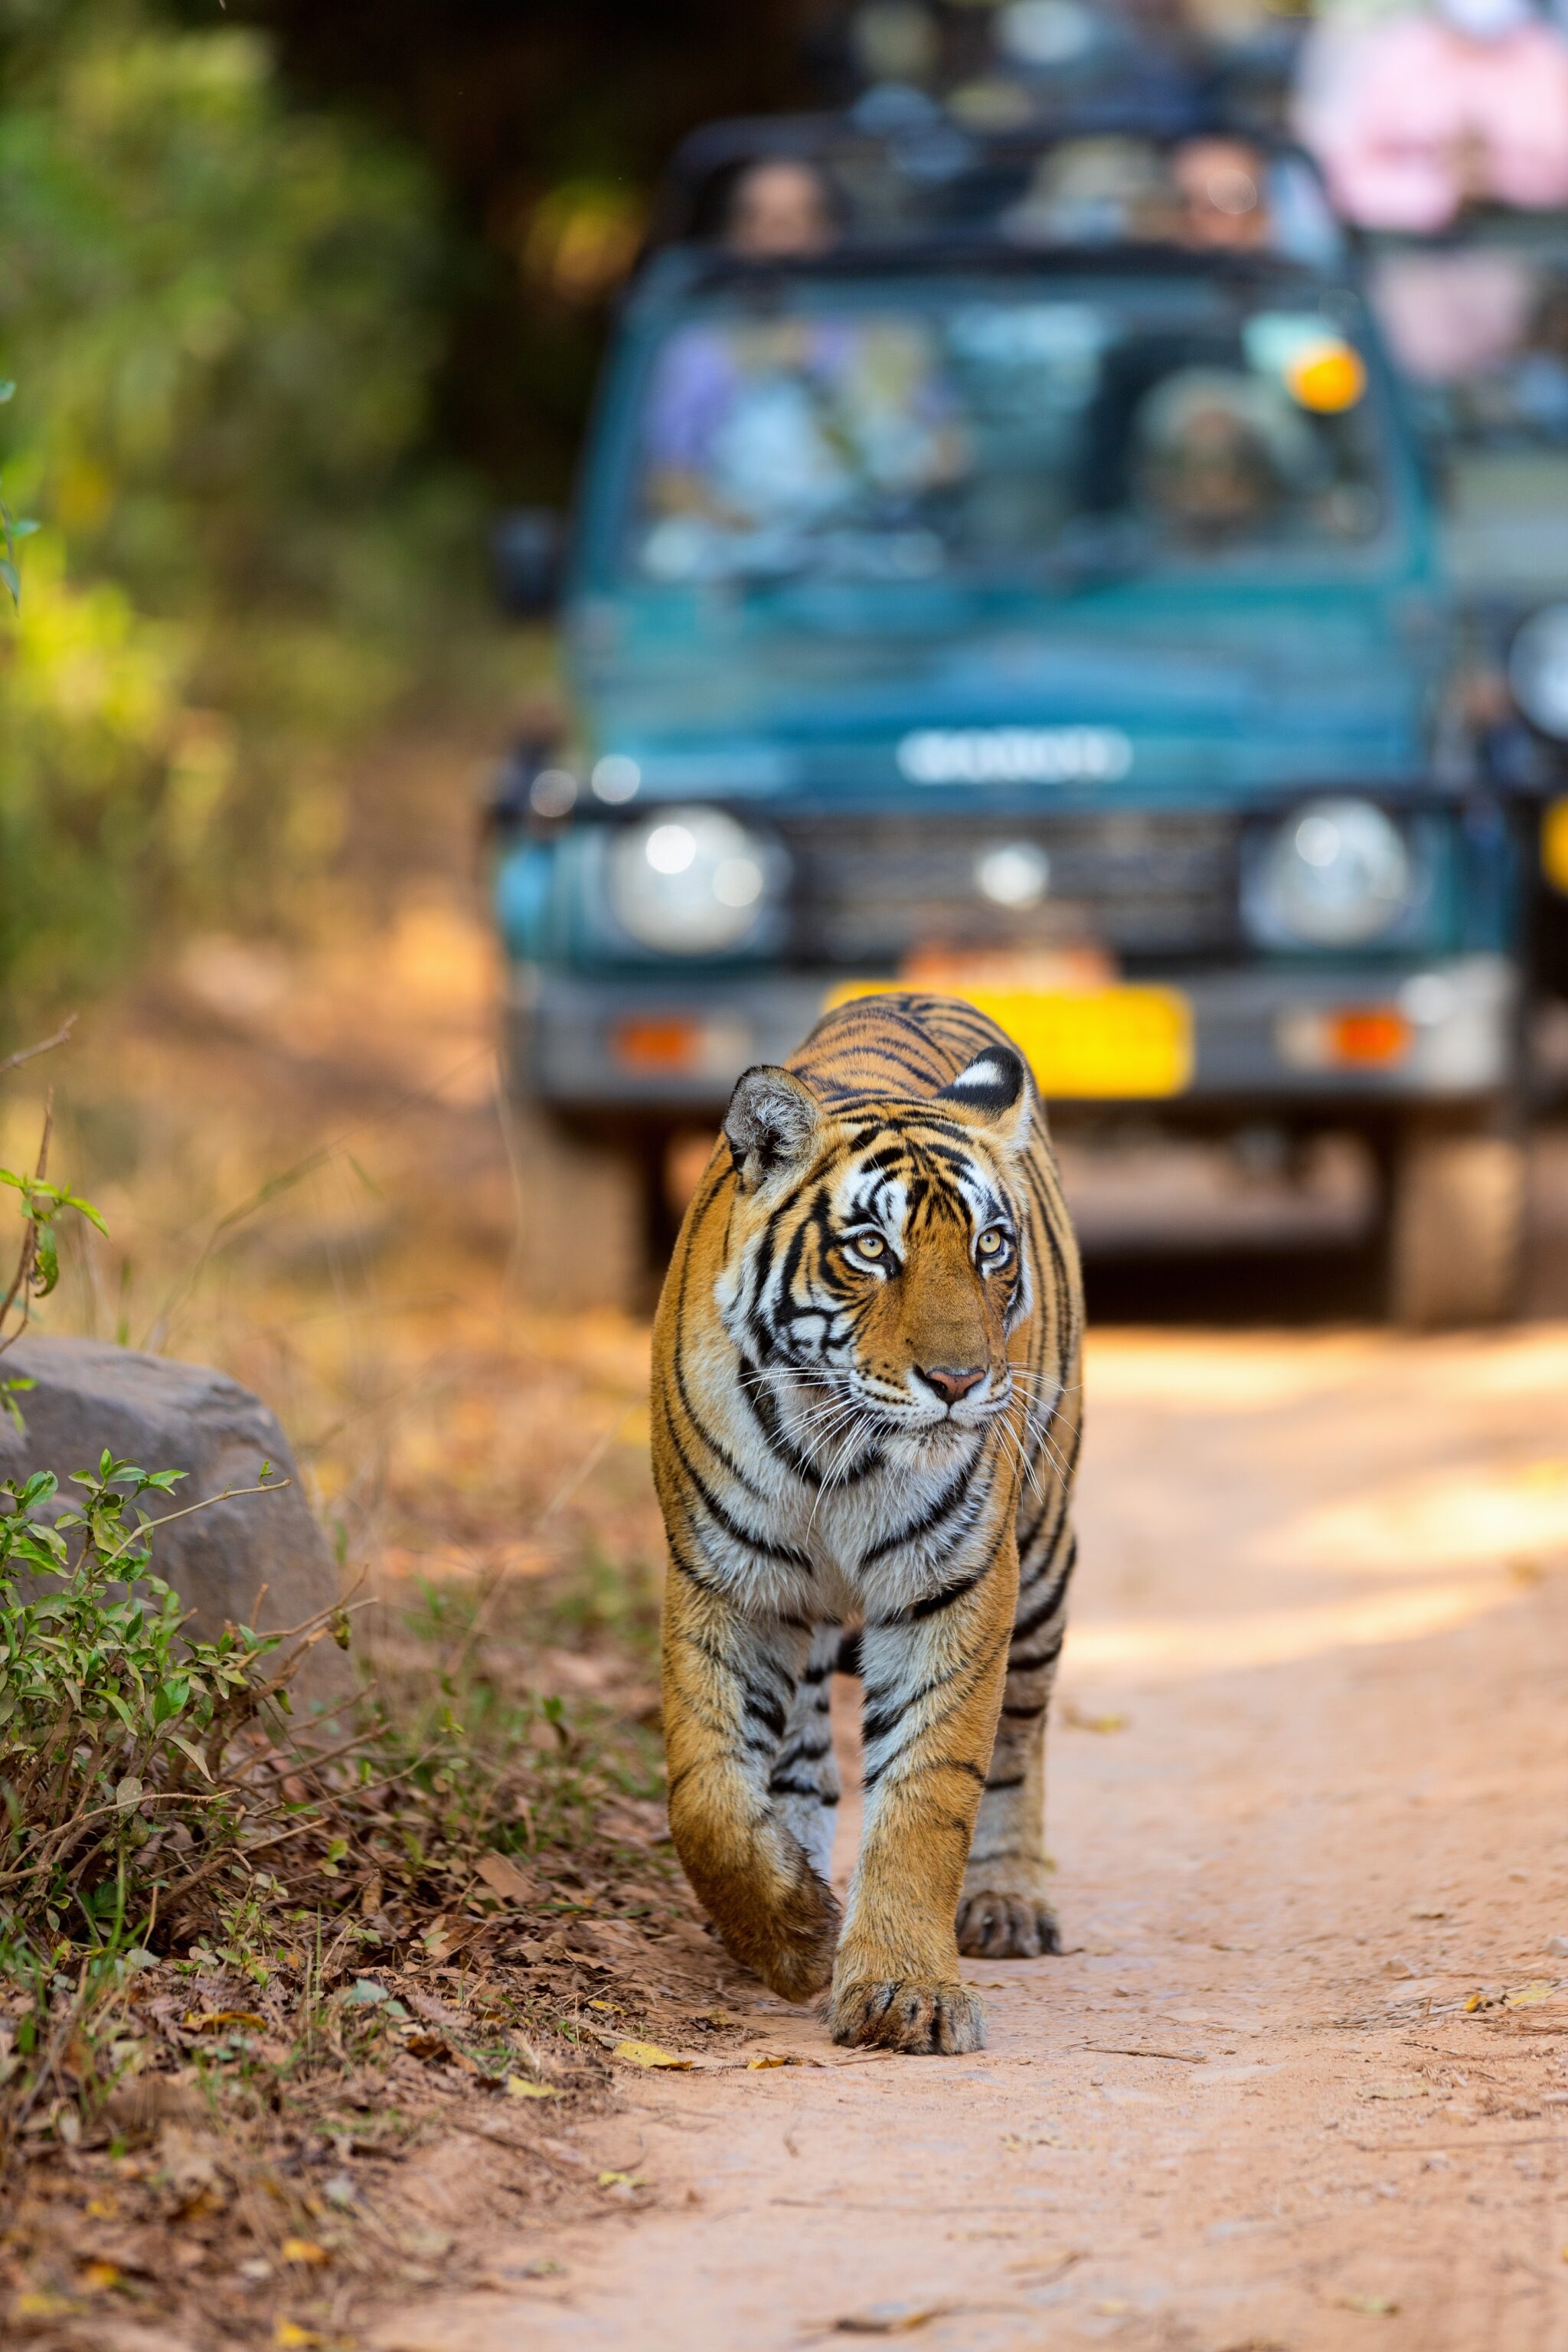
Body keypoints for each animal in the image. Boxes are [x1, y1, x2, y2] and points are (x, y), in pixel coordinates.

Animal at [648, 983, 1081, 2050]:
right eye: (872, 1250)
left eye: (987, 1247)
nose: (961, 1382)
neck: (837, 1452)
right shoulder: (724, 1579)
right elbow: (705, 1790)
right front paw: (794, 1931)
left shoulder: (953, 1587)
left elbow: (927, 1796)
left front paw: (901, 1990)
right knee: (800, 1749)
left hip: (1045, 1555)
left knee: (1021, 1738)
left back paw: (1007, 1902)